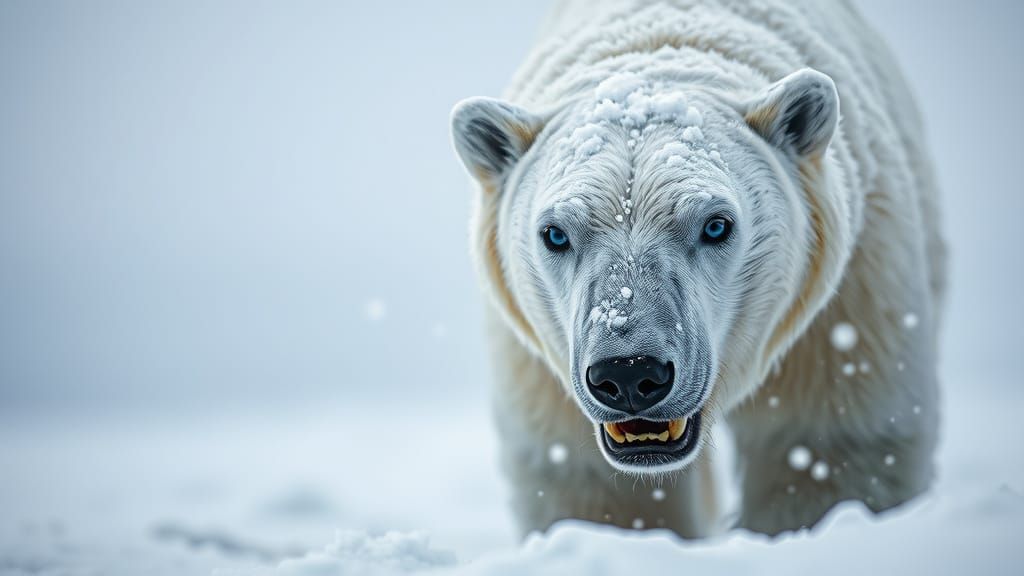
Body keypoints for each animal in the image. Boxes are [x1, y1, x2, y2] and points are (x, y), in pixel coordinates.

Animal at [450, 0, 945, 538]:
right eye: (555, 233)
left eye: (716, 225)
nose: (629, 373)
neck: (668, 32)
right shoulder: (538, 372)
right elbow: (585, 479)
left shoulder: (846, 316)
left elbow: (824, 445)